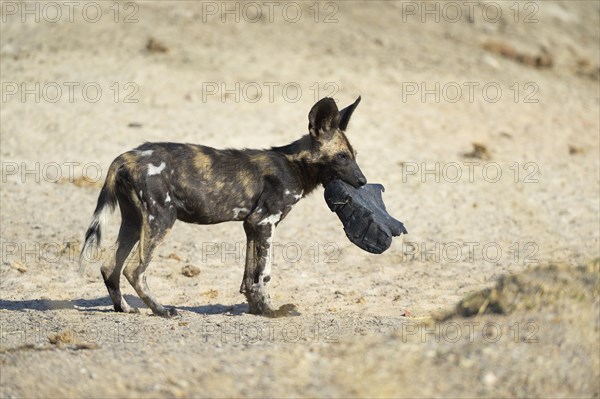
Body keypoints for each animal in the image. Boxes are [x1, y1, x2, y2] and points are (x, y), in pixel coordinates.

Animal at [81, 97, 366, 318]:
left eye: (354, 156)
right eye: (342, 156)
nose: (362, 181)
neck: (295, 165)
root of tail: (127, 156)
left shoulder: (251, 226)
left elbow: (249, 276)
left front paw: (257, 309)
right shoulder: (265, 223)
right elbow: (264, 274)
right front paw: (270, 312)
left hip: (133, 222)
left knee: (109, 267)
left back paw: (125, 308)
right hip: (160, 220)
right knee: (134, 270)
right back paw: (161, 310)